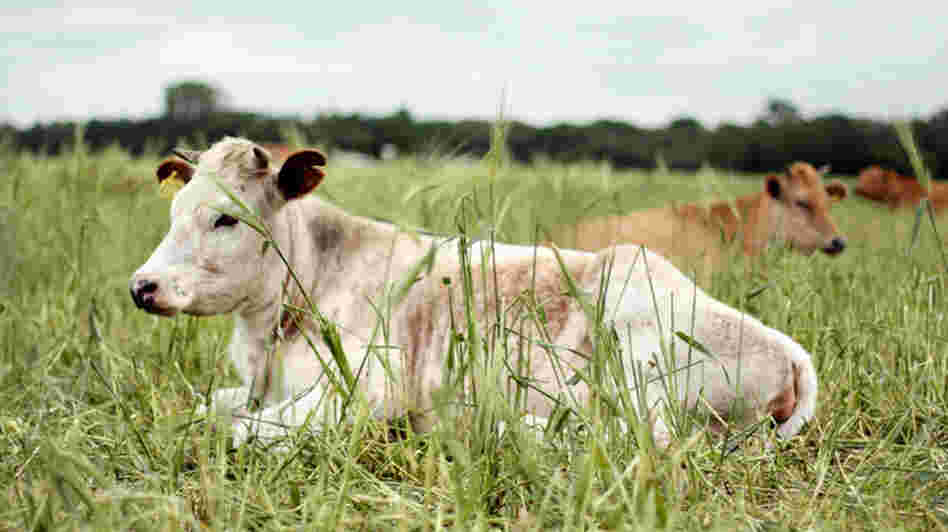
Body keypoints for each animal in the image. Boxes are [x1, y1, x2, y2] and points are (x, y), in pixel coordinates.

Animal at [130, 137, 818, 449]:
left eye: (227, 218)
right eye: (175, 212)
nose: (143, 286)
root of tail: (788, 351)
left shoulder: (363, 394)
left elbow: (240, 428)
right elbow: (210, 409)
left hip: (637, 357)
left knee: (634, 436)